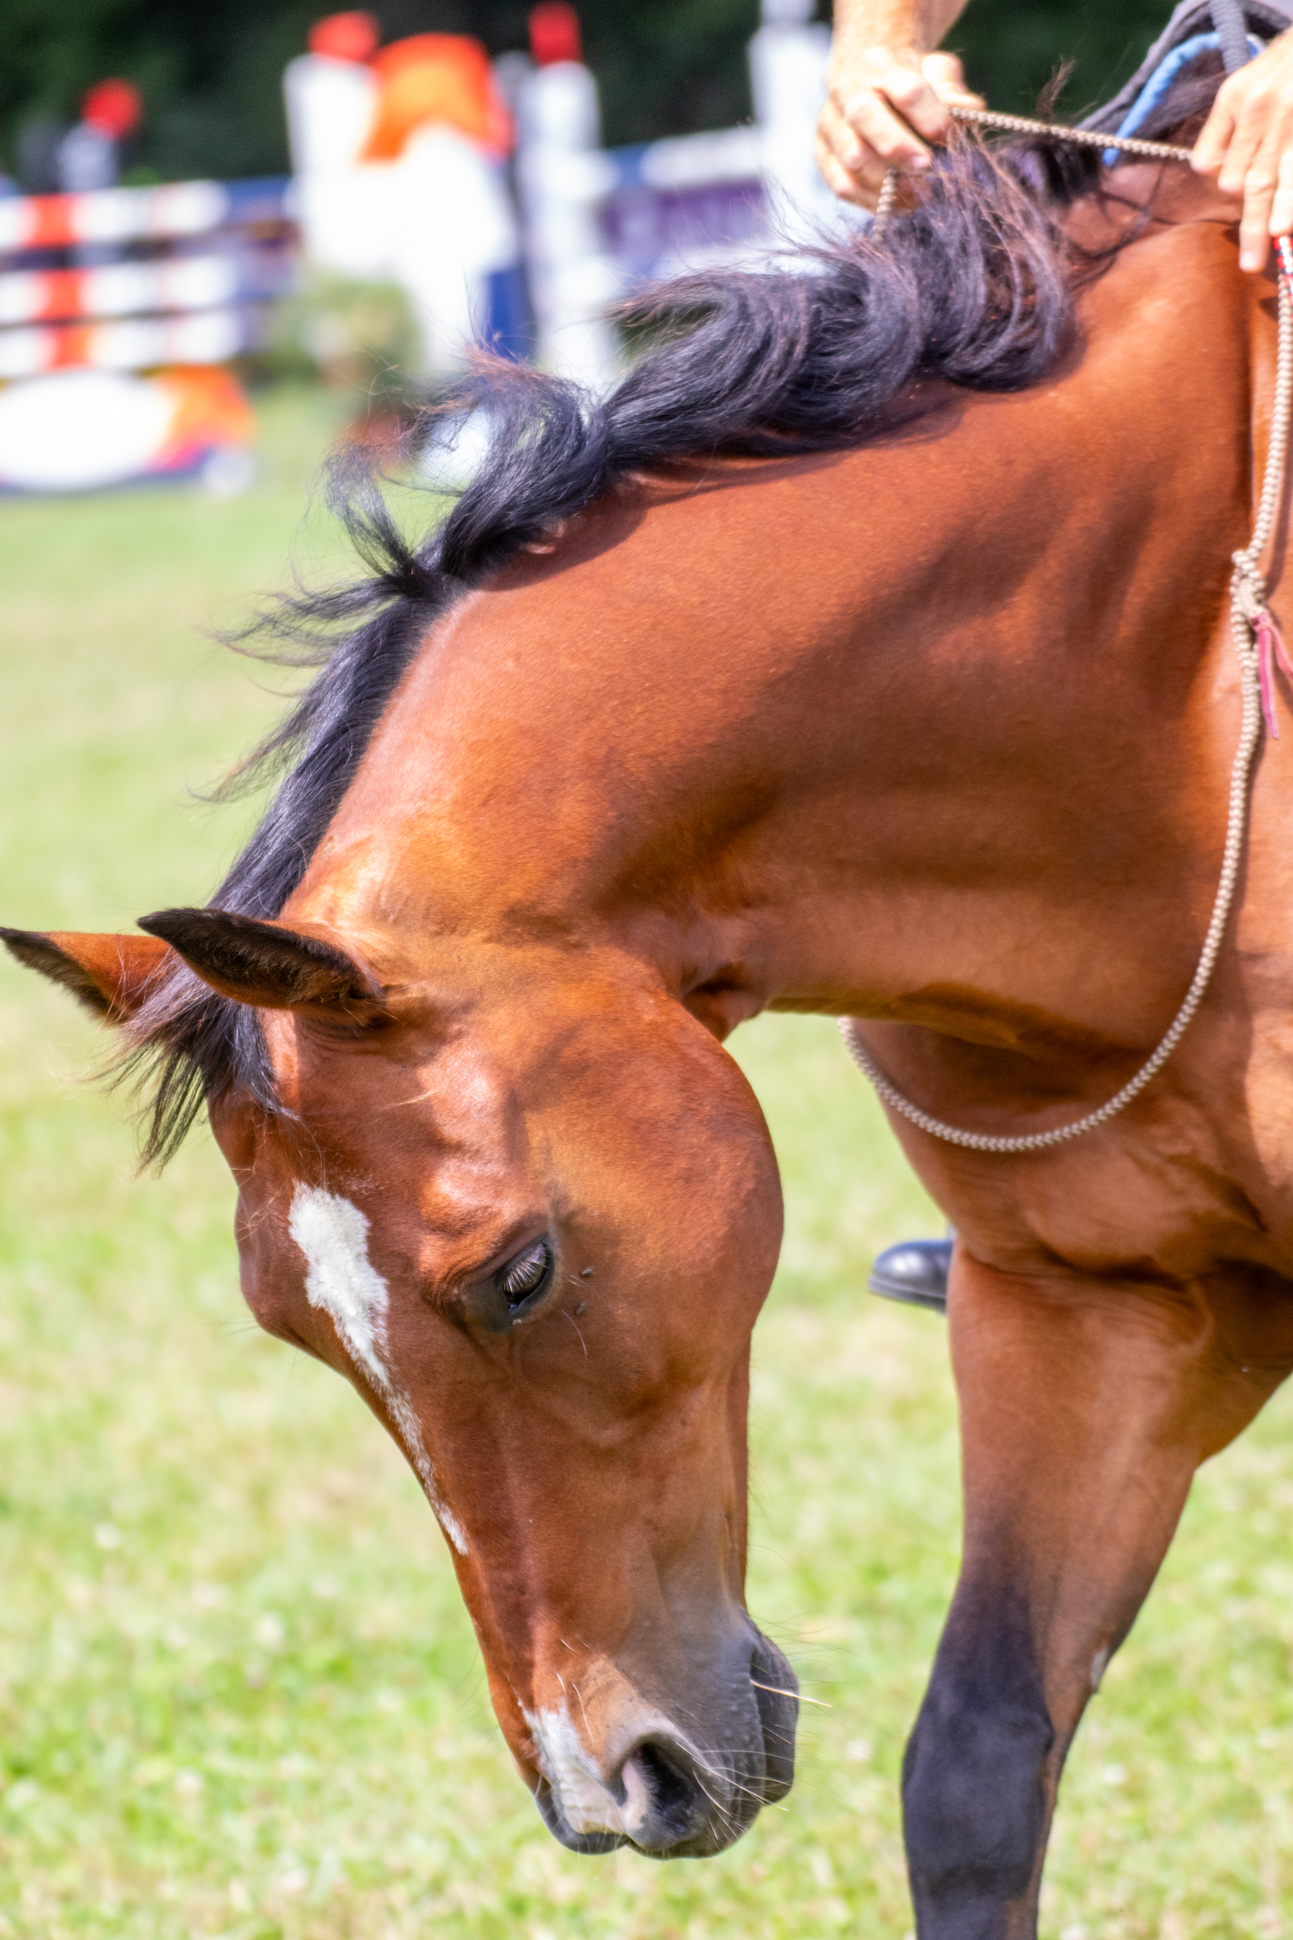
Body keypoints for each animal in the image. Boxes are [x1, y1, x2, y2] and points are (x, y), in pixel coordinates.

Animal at [5, 63, 1289, 1935]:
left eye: (520, 1274)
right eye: (289, 1326)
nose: (618, 1786)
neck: (1155, 708)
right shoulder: (1092, 1307)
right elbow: (976, 1764)